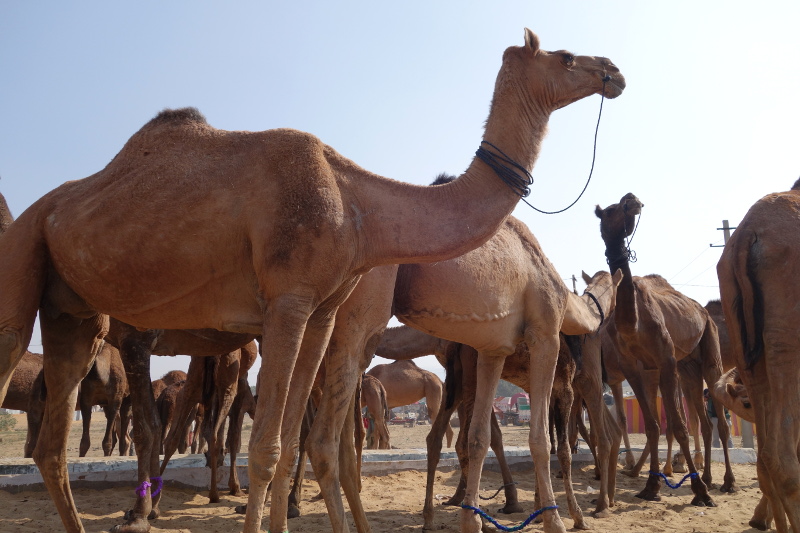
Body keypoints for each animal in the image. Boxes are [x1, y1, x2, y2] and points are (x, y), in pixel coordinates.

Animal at [0, 30, 624, 532]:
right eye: (567, 57)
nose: (614, 71)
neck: (358, 203)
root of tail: (40, 211)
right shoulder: (289, 300)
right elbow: (267, 447)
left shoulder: (322, 310)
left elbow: (304, 443)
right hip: (23, 256)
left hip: (74, 310)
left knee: (53, 448)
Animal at [596, 193, 736, 504]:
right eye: (609, 211)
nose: (632, 199)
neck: (632, 323)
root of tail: (704, 311)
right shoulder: (633, 368)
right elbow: (652, 426)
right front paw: (651, 486)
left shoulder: (665, 360)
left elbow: (679, 427)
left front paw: (699, 492)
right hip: (688, 367)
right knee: (705, 422)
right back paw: (709, 477)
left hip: (709, 348)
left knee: (719, 421)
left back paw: (726, 483)